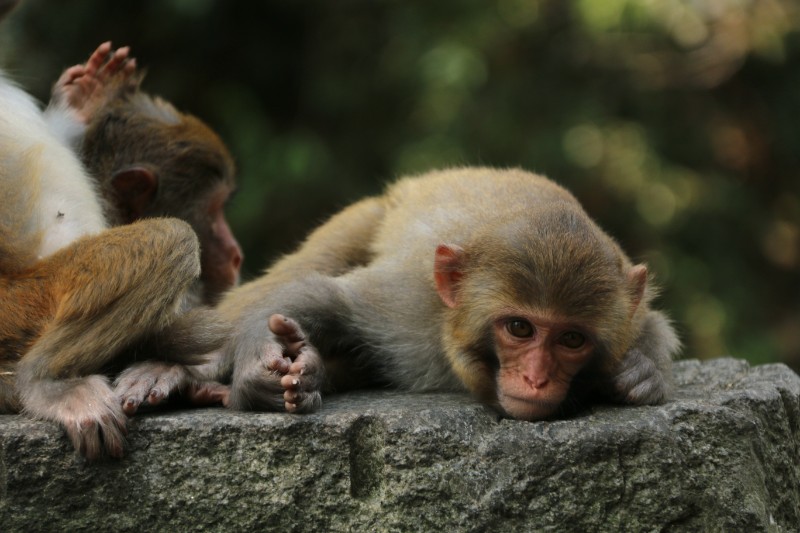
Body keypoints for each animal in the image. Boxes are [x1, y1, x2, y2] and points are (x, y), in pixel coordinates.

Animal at [119, 166, 680, 420]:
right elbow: (326, 296)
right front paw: (260, 363)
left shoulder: (629, 311)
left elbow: (651, 327)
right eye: (520, 328)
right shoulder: (409, 309)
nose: (537, 379)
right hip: (366, 214)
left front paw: (641, 373)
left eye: (572, 340)